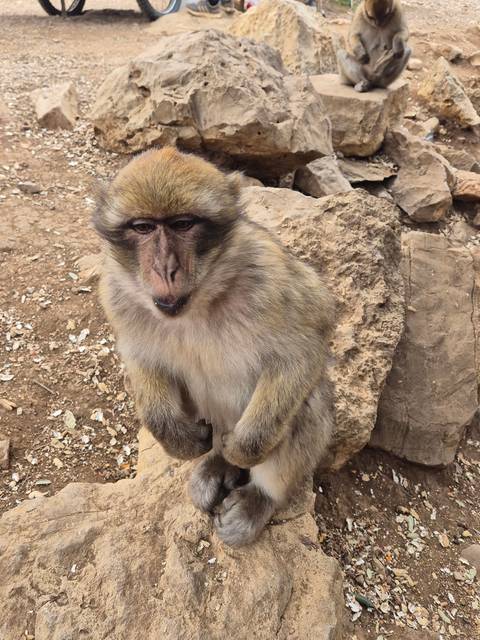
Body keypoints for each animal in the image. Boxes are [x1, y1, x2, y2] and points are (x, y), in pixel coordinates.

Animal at [93, 147, 334, 547]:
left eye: (183, 225)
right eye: (143, 227)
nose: (165, 268)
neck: (201, 300)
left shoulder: (268, 274)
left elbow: (305, 347)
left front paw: (244, 449)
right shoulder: (115, 294)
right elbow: (142, 359)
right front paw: (176, 439)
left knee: (307, 403)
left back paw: (256, 492)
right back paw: (218, 461)